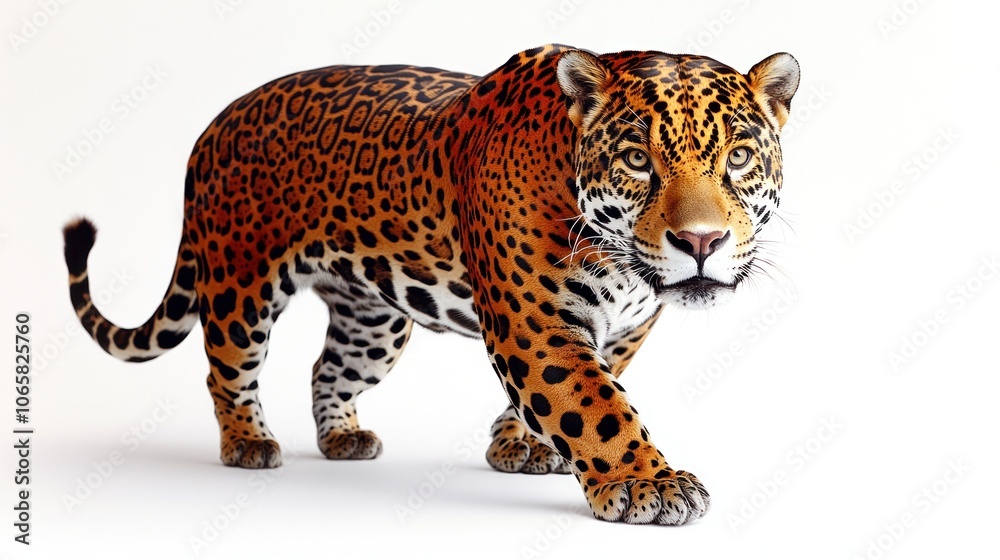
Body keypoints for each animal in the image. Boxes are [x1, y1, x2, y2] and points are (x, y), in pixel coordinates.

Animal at [62, 44, 799, 525]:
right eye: (638, 161)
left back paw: (343, 438)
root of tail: (213, 125)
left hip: (373, 322)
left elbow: (577, 393)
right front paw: (650, 483)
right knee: (226, 370)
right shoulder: (532, 323)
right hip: (239, 284)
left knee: (326, 370)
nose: (701, 243)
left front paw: (520, 446)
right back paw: (247, 442)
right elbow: (596, 406)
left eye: (738, 158)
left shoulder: (621, 326)